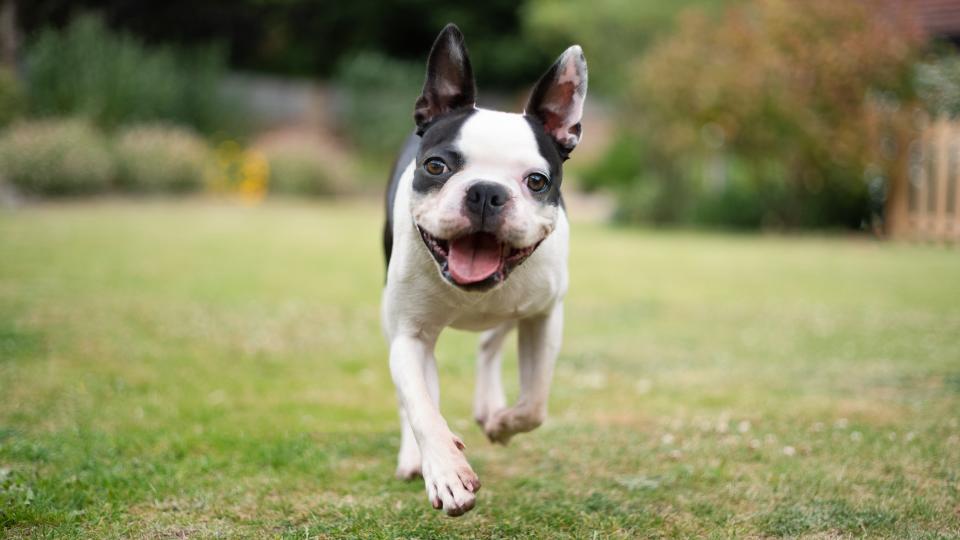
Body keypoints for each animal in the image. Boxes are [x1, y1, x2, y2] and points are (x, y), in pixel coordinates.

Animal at [380, 23, 584, 516]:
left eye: (537, 181)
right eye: (436, 166)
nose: (486, 192)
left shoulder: (543, 315)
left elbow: (534, 403)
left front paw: (502, 423)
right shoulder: (409, 336)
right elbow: (421, 405)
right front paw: (446, 472)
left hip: (514, 312)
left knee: (489, 344)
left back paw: (490, 408)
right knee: (415, 397)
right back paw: (414, 457)